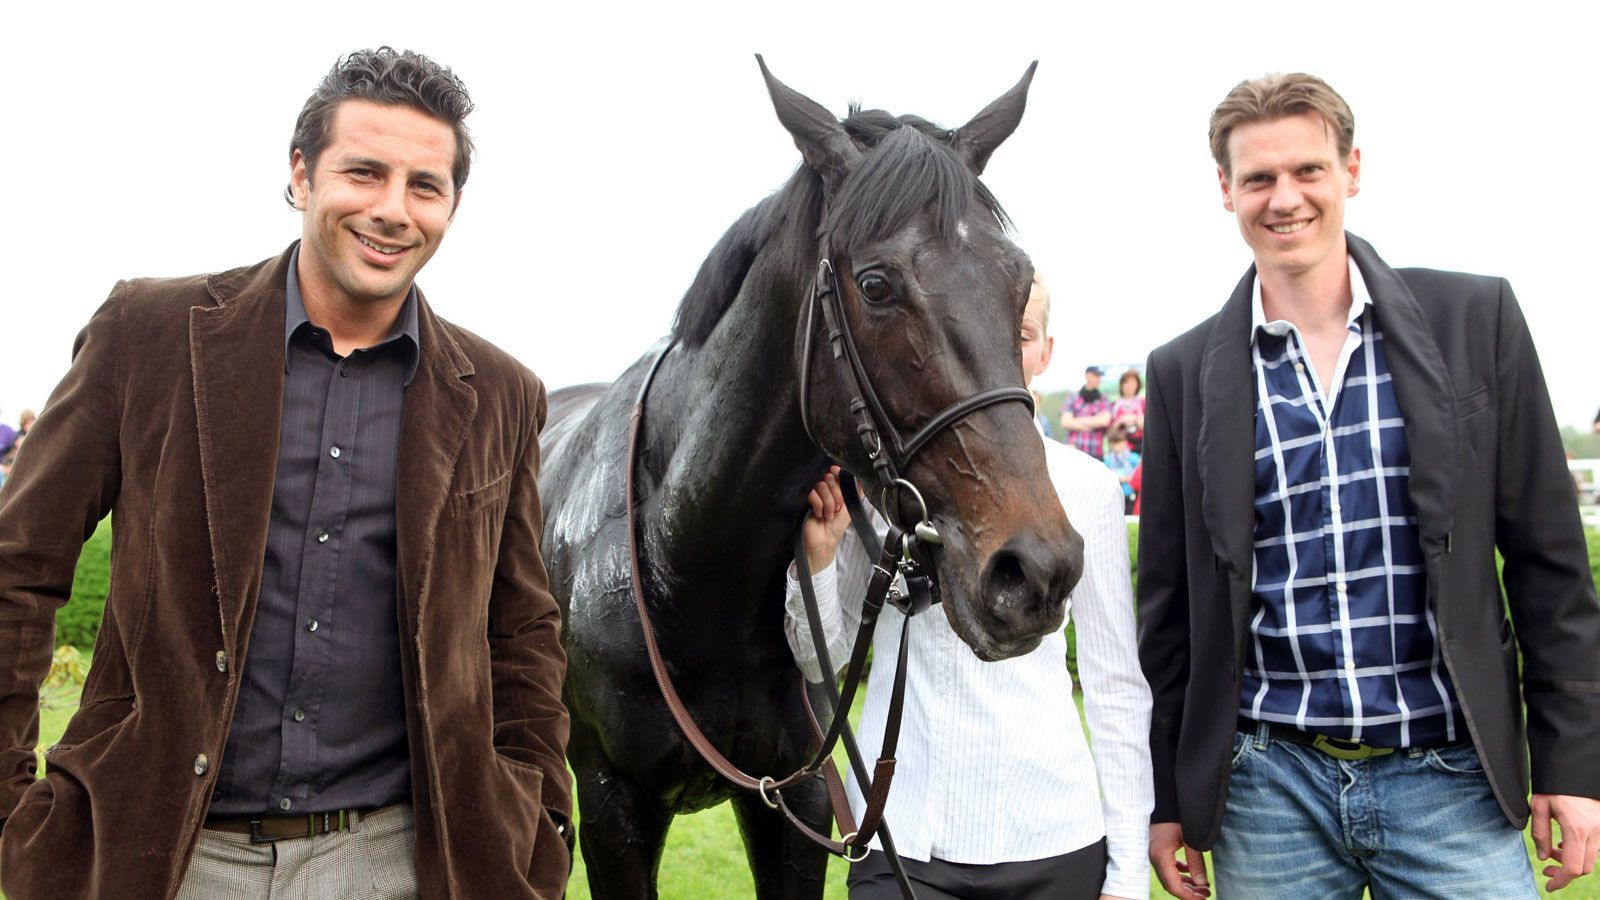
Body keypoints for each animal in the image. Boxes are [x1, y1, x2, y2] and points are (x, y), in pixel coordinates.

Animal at [540, 59, 1088, 890]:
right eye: (876, 285)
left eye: (1017, 281)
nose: (1035, 571)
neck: (688, 565)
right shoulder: (613, 803)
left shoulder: (795, 801)